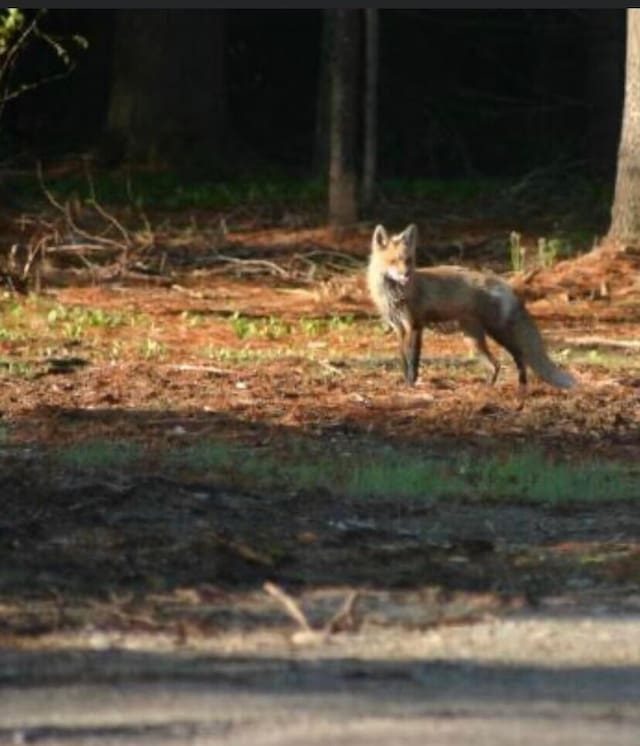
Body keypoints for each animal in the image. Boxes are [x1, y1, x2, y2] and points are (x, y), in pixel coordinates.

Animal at [368, 222, 576, 390]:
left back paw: (521, 385)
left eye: (408, 260)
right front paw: (405, 382)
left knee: (519, 356)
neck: (395, 295)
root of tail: (503, 283)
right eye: (393, 261)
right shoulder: (399, 329)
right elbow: (404, 361)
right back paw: (489, 387)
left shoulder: (415, 326)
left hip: (497, 332)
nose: (407, 274)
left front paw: (411, 384)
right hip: (472, 339)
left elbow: (413, 362)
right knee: (496, 364)